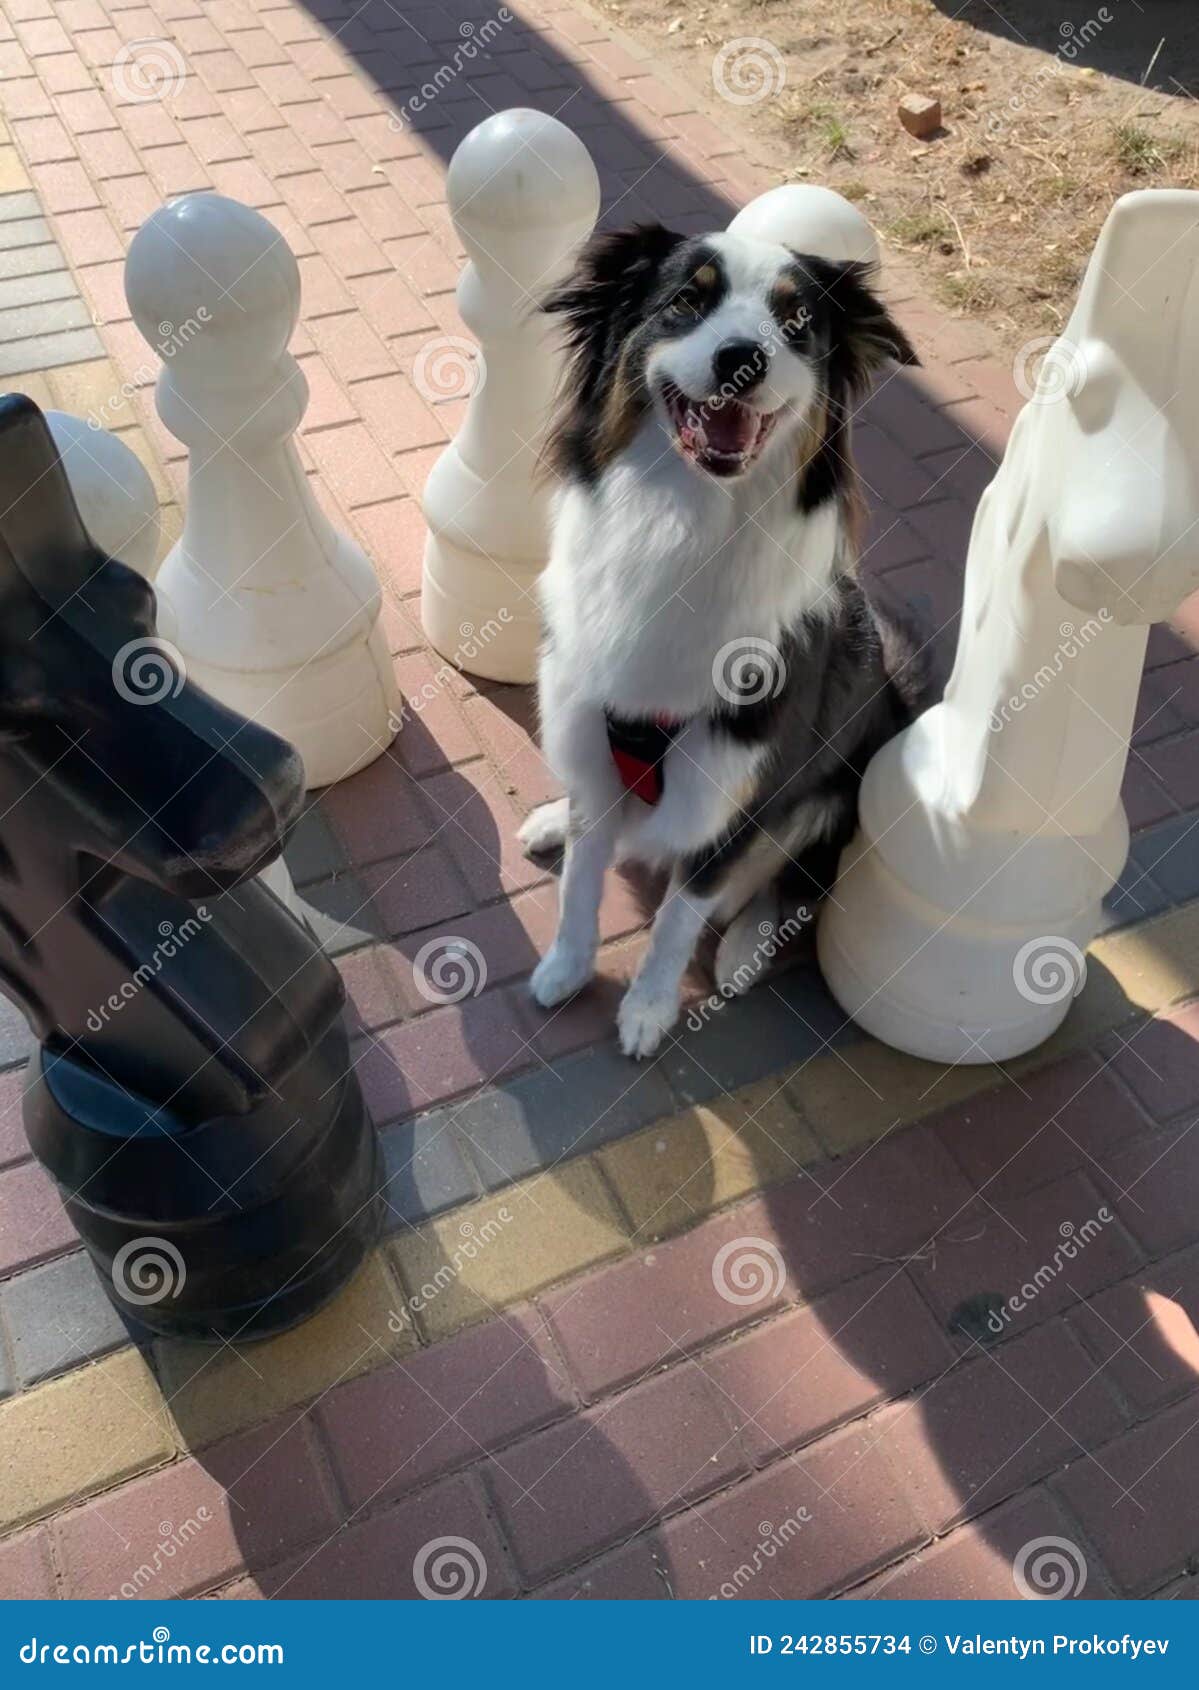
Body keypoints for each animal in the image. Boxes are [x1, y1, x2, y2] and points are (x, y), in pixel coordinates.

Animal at [517, 224, 919, 1054]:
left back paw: (743, 949)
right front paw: (566, 967)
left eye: (796, 323)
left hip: (834, 790)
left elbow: (678, 917)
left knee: (789, 879)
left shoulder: (737, 794)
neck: (683, 523)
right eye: (685, 300)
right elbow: (580, 881)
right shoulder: (586, 722)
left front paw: (645, 1009)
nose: (743, 358)